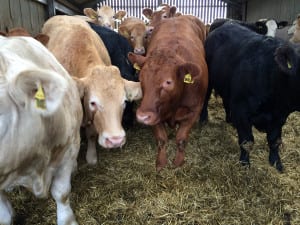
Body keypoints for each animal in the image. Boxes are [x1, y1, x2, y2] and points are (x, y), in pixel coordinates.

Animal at [128, 15, 209, 171]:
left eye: (168, 82)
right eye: (140, 78)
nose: (142, 116)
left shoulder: (194, 110)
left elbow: (181, 139)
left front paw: (178, 162)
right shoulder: (154, 113)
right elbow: (161, 139)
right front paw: (161, 163)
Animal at [202, 22, 300, 171]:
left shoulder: (280, 117)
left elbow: (274, 141)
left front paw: (276, 163)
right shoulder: (242, 111)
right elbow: (247, 141)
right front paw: (244, 163)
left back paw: (230, 120)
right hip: (209, 80)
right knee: (205, 98)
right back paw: (203, 119)